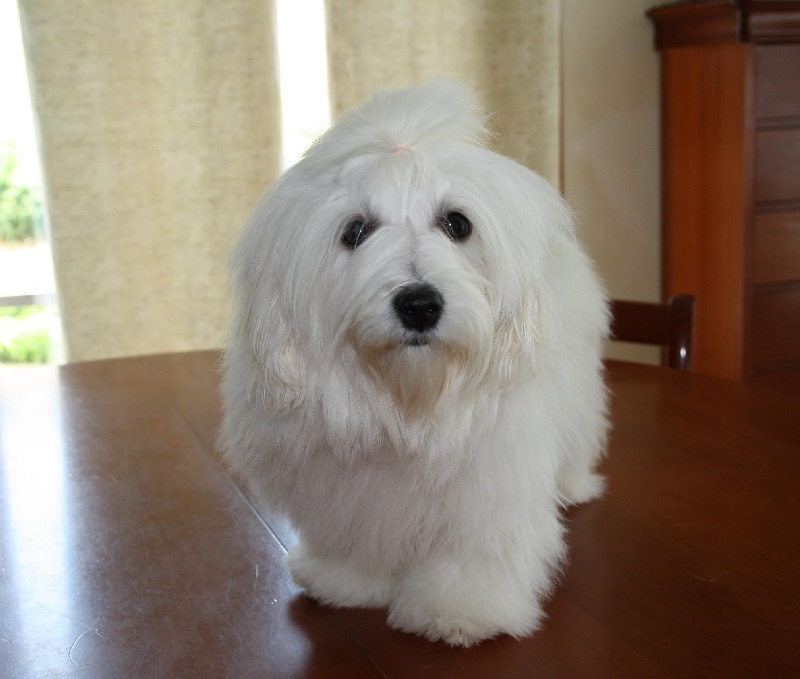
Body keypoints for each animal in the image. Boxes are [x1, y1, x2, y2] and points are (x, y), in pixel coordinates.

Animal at [220, 81, 609, 647]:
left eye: (457, 224)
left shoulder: (488, 487)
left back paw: (573, 487)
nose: (420, 304)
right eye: (355, 231)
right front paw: (346, 581)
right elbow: (354, 537)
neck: (409, 401)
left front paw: (459, 610)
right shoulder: (348, 490)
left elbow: (475, 551)